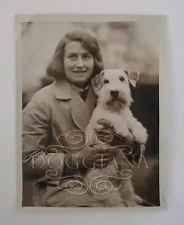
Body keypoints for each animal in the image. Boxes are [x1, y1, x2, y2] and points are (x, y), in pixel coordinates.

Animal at [84, 68, 148, 207]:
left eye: (122, 78)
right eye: (106, 81)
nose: (114, 92)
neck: (116, 108)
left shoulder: (128, 117)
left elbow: (133, 122)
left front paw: (141, 135)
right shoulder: (100, 121)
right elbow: (114, 118)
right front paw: (122, 129)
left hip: (126, 182)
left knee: (127, 196)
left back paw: (135, 199)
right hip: (103, 186)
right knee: (116, 201)